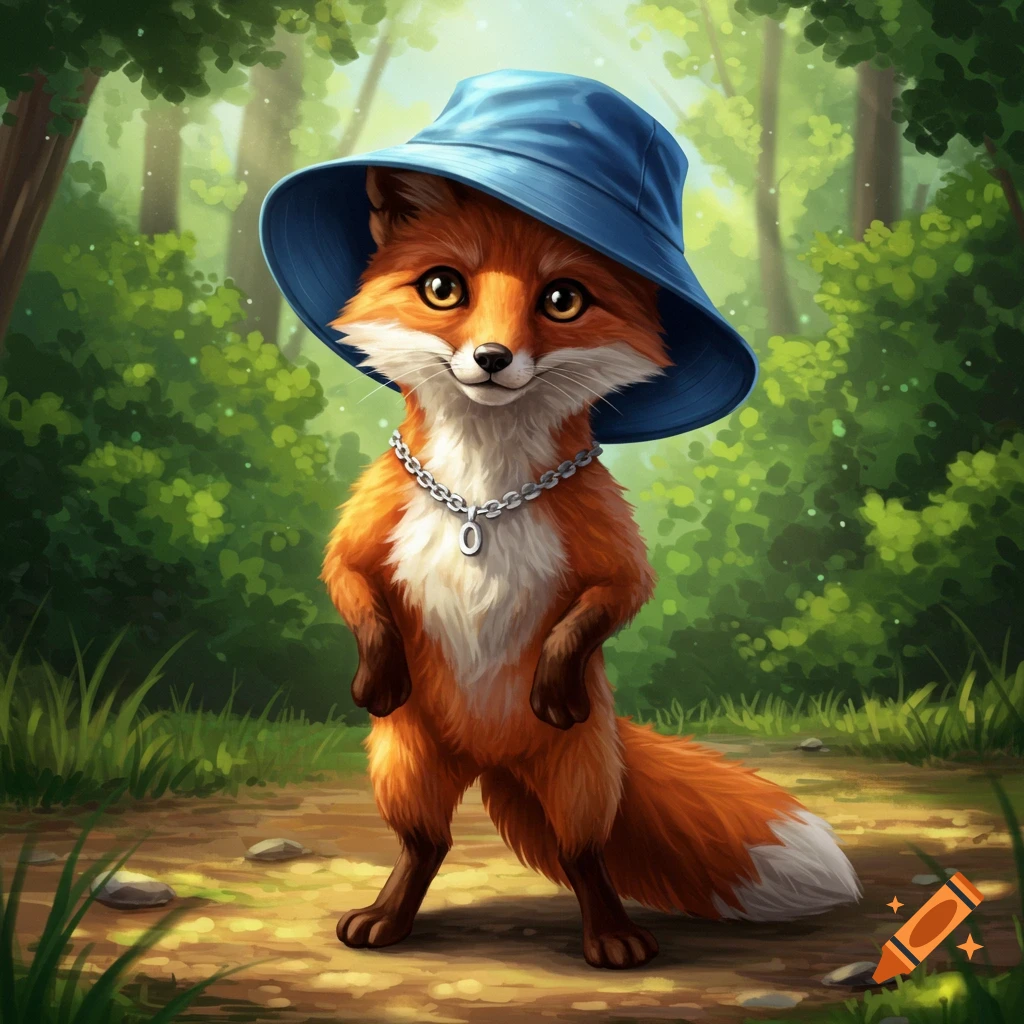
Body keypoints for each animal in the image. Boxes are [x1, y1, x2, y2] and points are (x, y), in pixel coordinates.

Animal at [321, 165, 861, 969]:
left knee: (583, 857)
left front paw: (553, 681)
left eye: (562, 300)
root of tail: (489, 754)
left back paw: (611, 935)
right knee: (426, 844)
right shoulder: (363, 530)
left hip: (580, 779)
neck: (482, 496)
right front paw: (376, 675)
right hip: (405, 764)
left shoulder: (615, 552)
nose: (492, 358)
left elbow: (601, 609)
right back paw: (388, 917)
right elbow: (351, 588)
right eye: (444, 288)